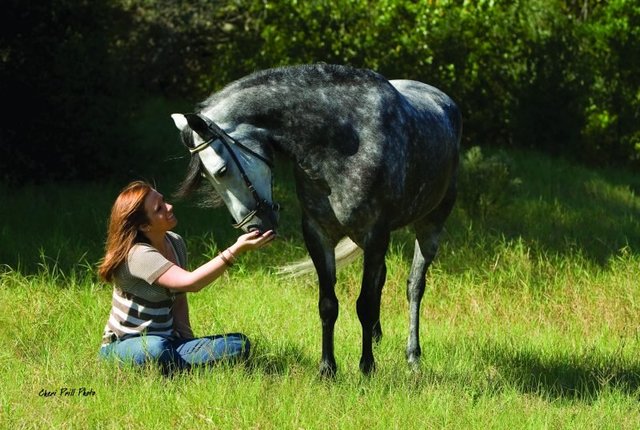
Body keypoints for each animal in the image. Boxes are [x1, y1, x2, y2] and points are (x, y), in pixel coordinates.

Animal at [170, 63, 460, 376]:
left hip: (429, 226)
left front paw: (367, 367)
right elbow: (328, 304)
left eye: (221, 171)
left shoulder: (375, 234)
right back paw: (378, 337)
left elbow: (365, 304)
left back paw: (413, 355)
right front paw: (327, 369)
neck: (343, 143)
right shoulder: (318, 234)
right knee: (381, 279)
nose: (253, 227)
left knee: (414, 286)